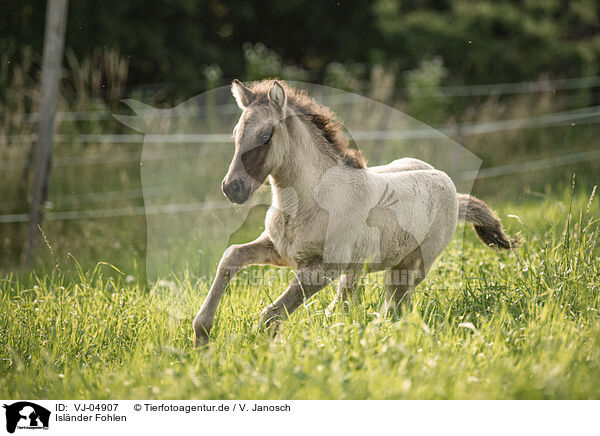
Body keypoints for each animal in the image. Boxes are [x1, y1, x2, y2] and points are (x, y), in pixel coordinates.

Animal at [192, 77, 516, 344]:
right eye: (236, 133)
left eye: (265, 136)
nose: (232, 188)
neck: (307, 204)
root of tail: (451, 188)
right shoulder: (281, 251)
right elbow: (231, 256)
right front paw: (201, 335)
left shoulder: (322, 269)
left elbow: (271, 314)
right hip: (358, 270)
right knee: (348, 305)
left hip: (410, 267)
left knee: (394, 307)